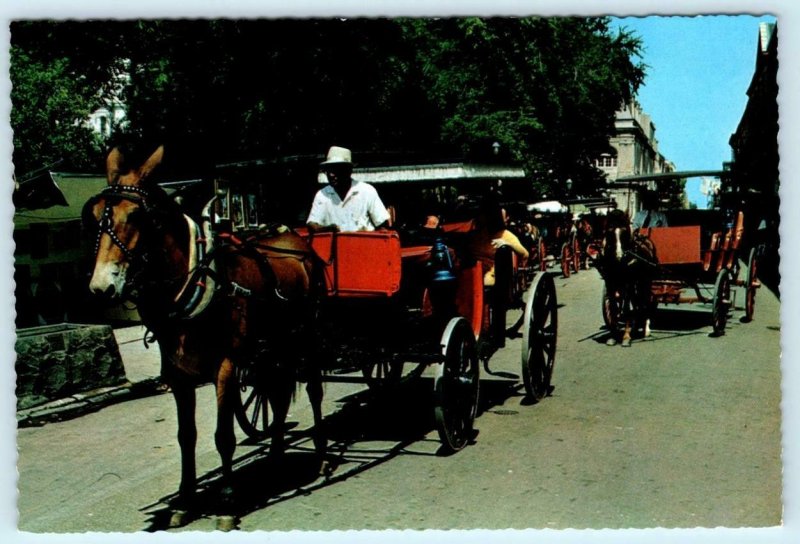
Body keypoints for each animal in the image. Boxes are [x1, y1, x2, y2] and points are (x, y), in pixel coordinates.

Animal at [85, 146, 324, 528]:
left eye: (136, 216)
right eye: (93, 217)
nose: (101, 287)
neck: (196, 279)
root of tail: (294, 239)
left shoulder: (226, 367)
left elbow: (223, 436)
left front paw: (226, 501)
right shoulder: (178, 375)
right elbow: (187, 436)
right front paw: (185, 500)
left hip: (308, 336)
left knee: (314, 389)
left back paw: (321, 452)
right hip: (273, 348)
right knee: (277, 395)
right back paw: (275, 455)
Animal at [596, 208, 660, 348]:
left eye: (624, 231)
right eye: (609, 231)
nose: (619, 256)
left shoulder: (628, 283)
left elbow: (626, 309)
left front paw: (626, 337)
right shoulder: (611, 283)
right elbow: (614, 307)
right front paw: (613, 335)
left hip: (645, 281)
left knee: (645, 301)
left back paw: (646, 329)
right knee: (637, 303)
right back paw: (636, 327)